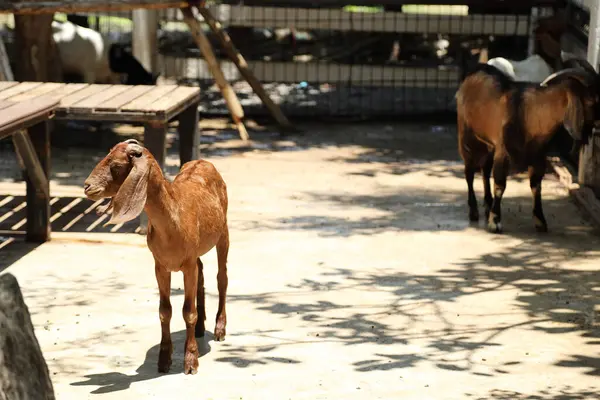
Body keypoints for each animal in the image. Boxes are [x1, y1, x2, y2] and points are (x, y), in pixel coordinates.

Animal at [458, 59, 596, 234]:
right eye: (591, 100)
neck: (529, 114)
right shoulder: (503, 152)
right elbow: (500, 185)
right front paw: (495, 222)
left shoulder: (538, 155)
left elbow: (536, 186)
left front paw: (540, 221)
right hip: (467, 136)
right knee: (469, 172)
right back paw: (474, 211)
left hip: (488, 144)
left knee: (485, 169)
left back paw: (488, 205)